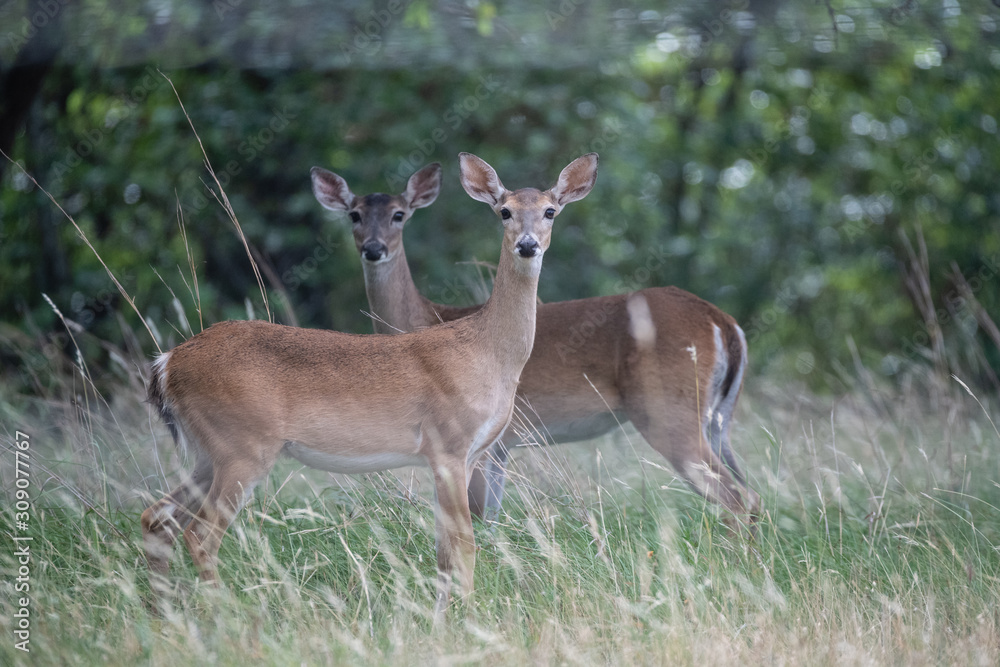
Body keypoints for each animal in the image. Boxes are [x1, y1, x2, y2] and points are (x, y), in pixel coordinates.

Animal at [141, 152, 599, 618]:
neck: (488, 352)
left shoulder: (468, 455)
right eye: (504, 211)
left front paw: (441, 618)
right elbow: (464, 543)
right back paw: (225, 615)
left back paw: (164, 614)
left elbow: (444, 548)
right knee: (199, 536)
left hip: (209, 452)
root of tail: (167, 363)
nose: (527, 244)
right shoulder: (448, 445)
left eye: (550, 211)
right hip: (243, 446)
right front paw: (470, 618)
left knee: (157, 517)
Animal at [311, 161, 759, 528]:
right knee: (752, 493)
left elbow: (477, 517)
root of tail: (723, 322)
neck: (426, 319)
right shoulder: (501, 447)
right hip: (718, 418)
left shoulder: (483, 441)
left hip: (667, 408)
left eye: (399, 214)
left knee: (737, 498)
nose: (373, 249)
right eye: (354, 214)